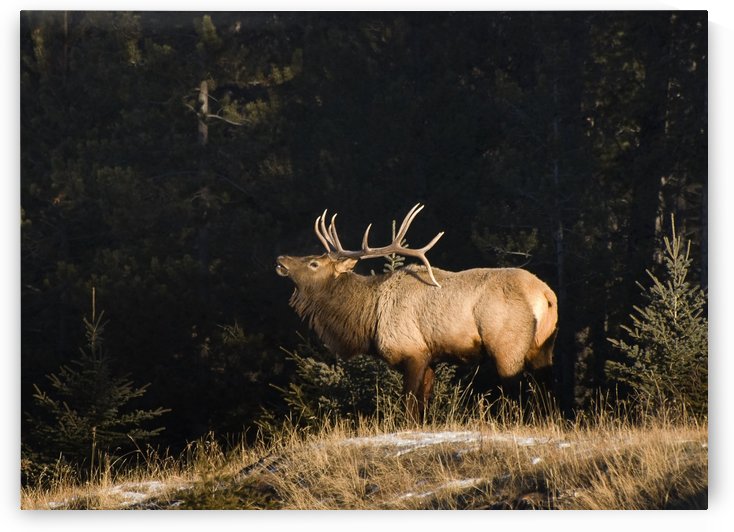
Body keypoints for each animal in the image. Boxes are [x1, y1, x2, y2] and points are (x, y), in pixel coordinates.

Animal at [275, 203, 558, 422]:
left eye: (313, 263)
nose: (280, 259)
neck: (368, 319)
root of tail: (546, 295)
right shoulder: (431, 357)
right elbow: (423, 409)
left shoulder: (413, 351)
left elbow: (409, 407)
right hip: (543, 345)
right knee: (546, 390)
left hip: (507, 345)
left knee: (517, 392)